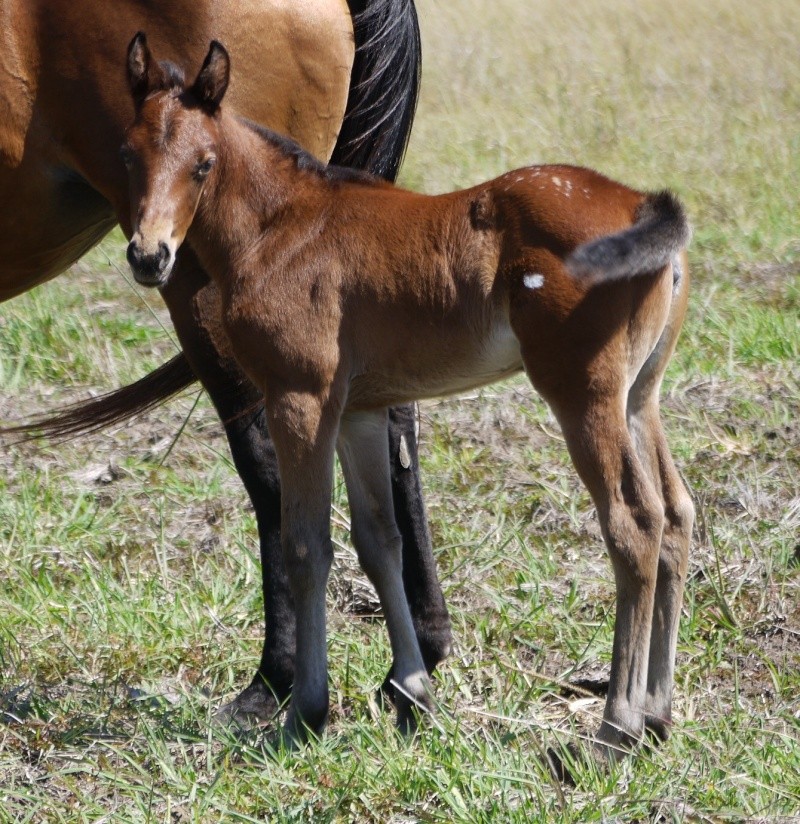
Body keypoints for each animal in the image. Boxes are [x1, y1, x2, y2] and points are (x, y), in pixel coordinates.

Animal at [123, 35, 692, 764]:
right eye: (128, 156)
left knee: (633, 524)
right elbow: (378, 539)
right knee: (675, 516)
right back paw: (658, 714)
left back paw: (615, 728)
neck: (282, 227)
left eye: (202, 165)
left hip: (583, 393)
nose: (150, 257)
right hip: (639, 396)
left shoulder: (299, 397)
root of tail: (644, 205)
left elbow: (305, 543)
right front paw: (413, 693)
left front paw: (305, 713)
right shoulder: (359, 410)